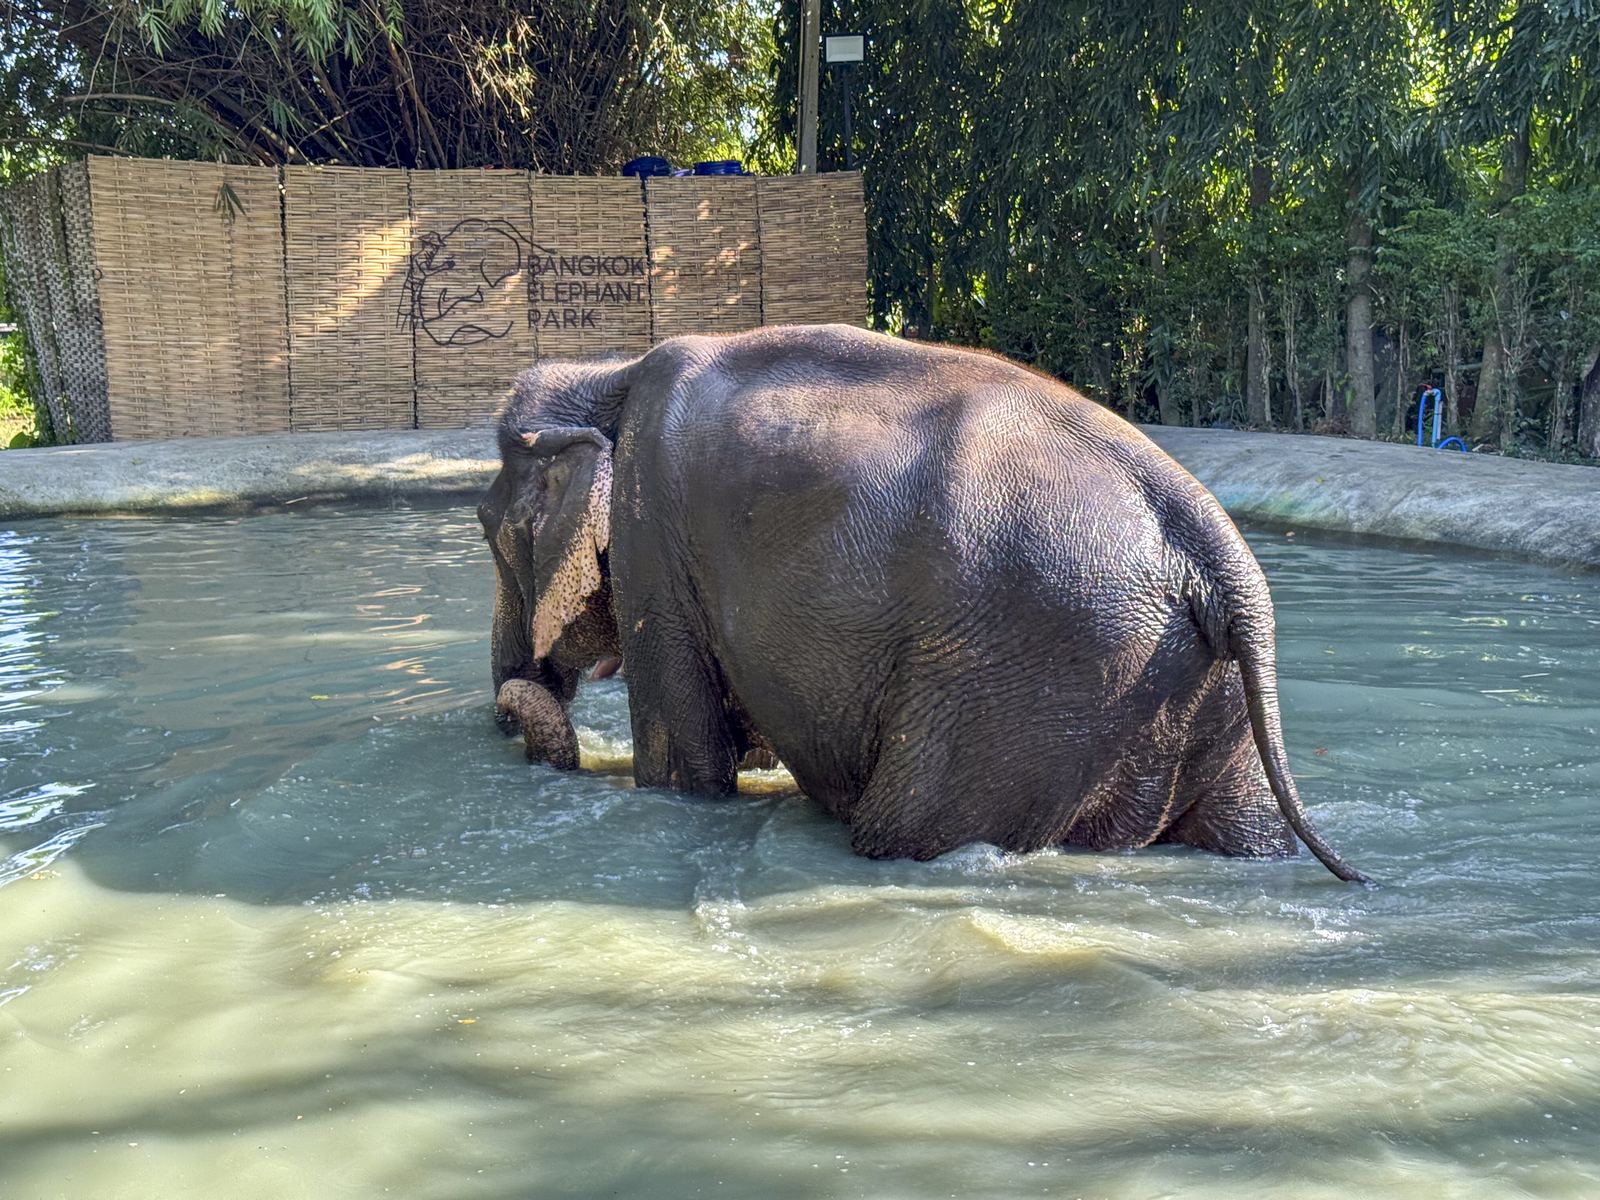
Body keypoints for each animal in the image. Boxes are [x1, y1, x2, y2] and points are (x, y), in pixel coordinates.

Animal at [477, 324, 1368, 883]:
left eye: (489, 532)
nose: (508, 714)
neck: (610, 374)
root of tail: (1215, 550)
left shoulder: (651, 541)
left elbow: (687, 768)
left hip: (1021, 682)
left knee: (904, 832)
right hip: (1187, 689)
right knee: (1242, 830)